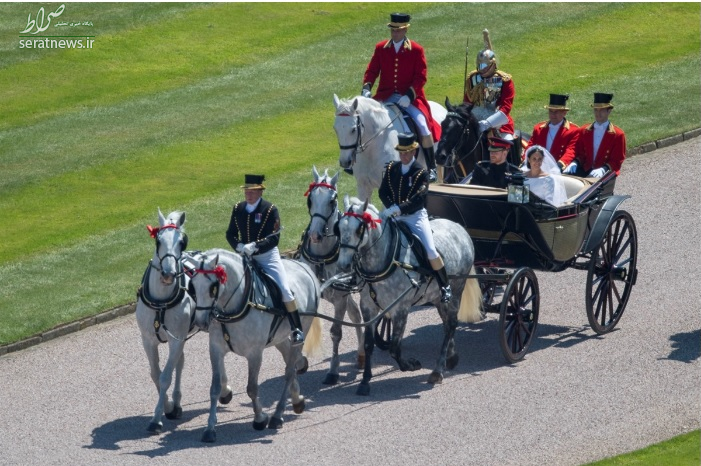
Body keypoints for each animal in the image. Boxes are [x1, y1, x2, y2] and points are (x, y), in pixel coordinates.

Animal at [134, 209, 224, 436]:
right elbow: (156, 374)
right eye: (158, 240)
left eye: (182, 242)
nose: (168, 274)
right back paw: (176, 403)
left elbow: (165, 376)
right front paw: (167, 406)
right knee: (180, 362)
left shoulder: (176, 339)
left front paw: (156, 419)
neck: (161, 301)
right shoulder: (148, 340)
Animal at [191, 249, 322, 442]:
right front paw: (210, 428)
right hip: (279, 338)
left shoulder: (254, 353)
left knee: (289, 371)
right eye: (192, 286)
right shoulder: (215, 349)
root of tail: (303, 266)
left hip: (302, 328)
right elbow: (214, 388)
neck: (239, 304)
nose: (200, 323)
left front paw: (260, 419)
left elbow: (252, 388)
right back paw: (297, 398)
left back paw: (277, 415)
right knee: (290, 362)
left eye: (213, 287)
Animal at [296, 166, 366, 384]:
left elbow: (336, 332)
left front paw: (333, 370)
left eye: (332, 200)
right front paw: (299, 362)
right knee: (356, 314)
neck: (322, 256)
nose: (315, 235)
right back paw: (362, 354)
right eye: (310, 199)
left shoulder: (340, 297)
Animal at [334, 195, 482, 396]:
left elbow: (395, 347)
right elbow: (369, 344)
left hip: (456, 290)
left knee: (451, 324)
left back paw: (438, 370)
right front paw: (365, 381)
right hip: (437, 298)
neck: (386, 259)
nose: (343, 265)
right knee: (447, 324)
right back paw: (451, 358)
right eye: (339, 228)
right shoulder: (368, 307)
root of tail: (459, 227)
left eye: (359, 229)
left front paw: (411, 365)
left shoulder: (400, 308)